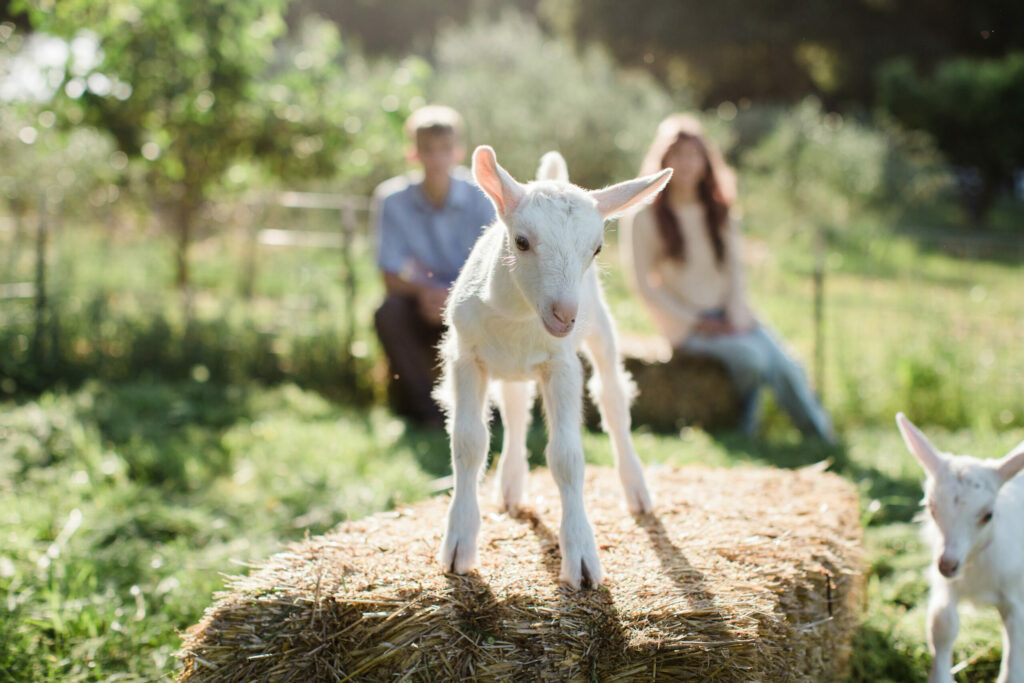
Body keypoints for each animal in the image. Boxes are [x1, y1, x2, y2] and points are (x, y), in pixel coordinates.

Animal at [432, 147, 671, 589]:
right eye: (522, 241)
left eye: (597, 249)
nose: (565, 316)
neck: (518, 316)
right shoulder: (465, 356)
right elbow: (468, 443)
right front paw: (458, 546)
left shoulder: (561, 366)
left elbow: (566, 456)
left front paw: (581, 558)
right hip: (508, 365)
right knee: (515, 406)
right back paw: (510, 487)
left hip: (601, 329)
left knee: (613, 398)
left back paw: (637, 492)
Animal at [892, 411, 1024, 683]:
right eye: (931, 508)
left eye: (988, 515)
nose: (948, 564)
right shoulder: (946, 585)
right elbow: (942, 624)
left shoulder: (1015, 594)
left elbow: (1015, 646)